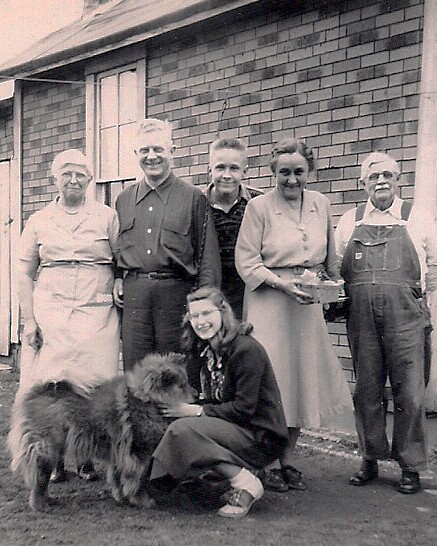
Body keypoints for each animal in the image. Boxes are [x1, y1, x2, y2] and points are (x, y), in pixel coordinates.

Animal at [7, 350, 192, 508]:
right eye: (181, 386)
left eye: (186, 382)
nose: (196, 394)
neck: (145, 398)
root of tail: (39, 390)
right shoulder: (138, 453)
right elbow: (138, 480)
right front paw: (143, 500)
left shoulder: (119, 452)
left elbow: (118, 478)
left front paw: (121, 497)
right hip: (47, 446)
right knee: (40, 477)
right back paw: (40, 504)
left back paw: (49, 500)